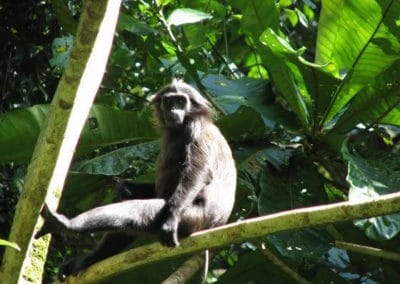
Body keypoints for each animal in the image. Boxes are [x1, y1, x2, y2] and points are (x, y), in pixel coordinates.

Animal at [35, 79, 238, 278]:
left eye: (181, 101)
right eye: (169, 101)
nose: (173, 109)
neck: (179, 128)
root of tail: (214, 225)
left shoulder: (195, 129)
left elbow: (198, 172)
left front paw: (171, 218)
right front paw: (125, 187)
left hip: (193, 219)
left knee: (137, 211)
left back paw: (66, 225)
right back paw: (91, 258)